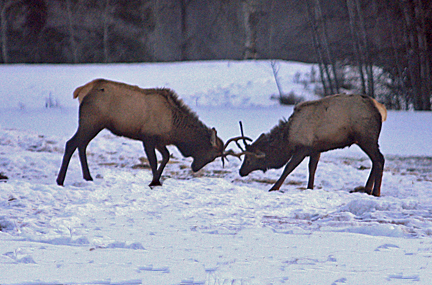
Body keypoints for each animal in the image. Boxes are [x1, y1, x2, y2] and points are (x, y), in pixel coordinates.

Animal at [55, 79, 240, 186]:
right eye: (212, 155)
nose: (195, 168)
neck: (175, 130)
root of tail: (80, 91)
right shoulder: (148, 137)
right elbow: (153, 160)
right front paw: (154, 181)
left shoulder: (160, 140)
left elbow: (166, 156)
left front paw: (157, 180)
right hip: (91, 121)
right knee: (72, 143)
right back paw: (60, 180)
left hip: (94, 124)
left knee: (82, 145)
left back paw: (88, 177)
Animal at [233, 94, 388, 196]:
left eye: (249, 159)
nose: (241, 171)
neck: (287, 139)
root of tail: (381, 110)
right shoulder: (316, 149)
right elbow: (312, 169)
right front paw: (309, 187)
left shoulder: (302, 148)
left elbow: (288, 168)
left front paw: (273, 188)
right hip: (367, 139)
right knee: (375, 160)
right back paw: (367, 189)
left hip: (366, 137)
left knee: (379, 159)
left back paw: (376, 192)